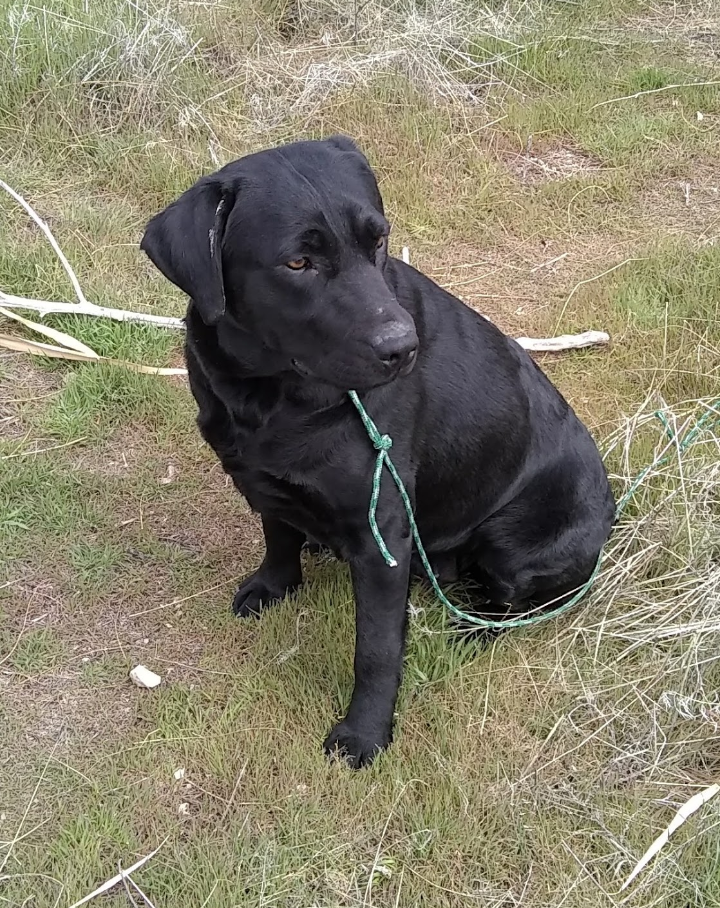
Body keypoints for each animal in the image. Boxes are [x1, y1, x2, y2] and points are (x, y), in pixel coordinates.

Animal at [141, 137, 612, 768]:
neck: (273, 395)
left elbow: (377, 650)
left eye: (379, 241)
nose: (403, 348)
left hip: (516, 545)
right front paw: (274, 584)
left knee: (516, 604)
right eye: (298, 263)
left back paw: (472, 627)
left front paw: (364, 734)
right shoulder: (261, 477)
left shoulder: (382, 532)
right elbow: (277, 532)